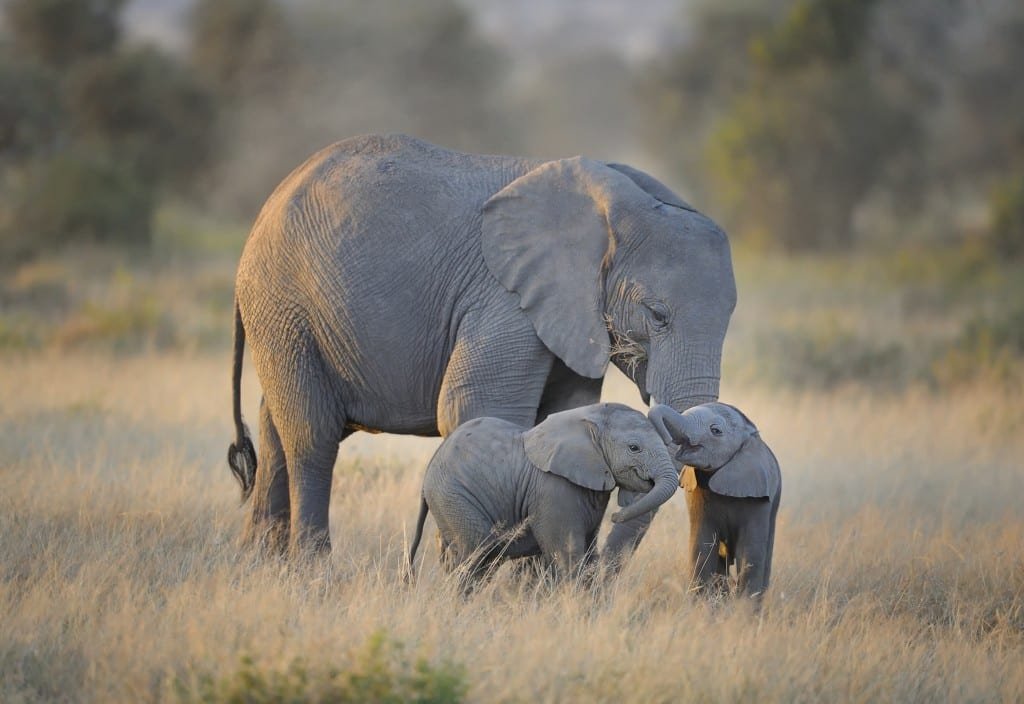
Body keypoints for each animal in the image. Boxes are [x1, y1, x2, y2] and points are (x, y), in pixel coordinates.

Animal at [229, 135, 737, 556]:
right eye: (657, 315)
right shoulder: (503, 297)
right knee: (312, 436)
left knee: (275, 429)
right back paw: (312, 571)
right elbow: (476, 407)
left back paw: (261, 566)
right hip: (285, 305)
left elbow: (562, 414)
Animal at [407, 401, 679, 581]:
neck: (589, 417)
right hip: (453, 497)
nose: (615, 516)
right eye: (634, 448)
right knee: (477, 554)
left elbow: (589, 554)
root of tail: (430, 468)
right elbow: (568, 555)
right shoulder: (554, 490)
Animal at [647, 401, 782, 597]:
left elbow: (750, 553)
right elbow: (701, 547)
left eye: (716, 430)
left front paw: (744, 606)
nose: (667, 440)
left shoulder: (759, 498)